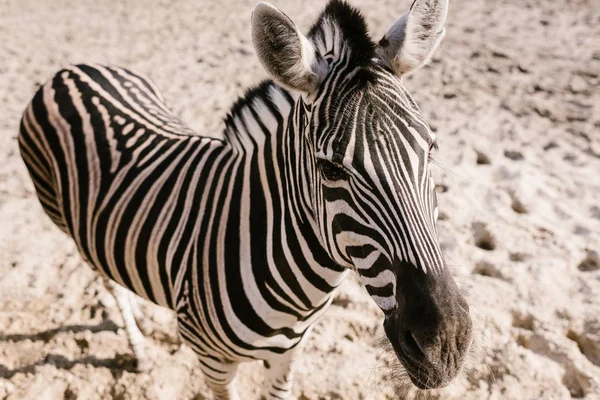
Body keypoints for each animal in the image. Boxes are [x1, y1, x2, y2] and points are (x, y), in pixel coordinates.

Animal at [16, 0, 472, 398]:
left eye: (431, 149)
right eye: (330, 170)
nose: (444, 345)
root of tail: (71, 70)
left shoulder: (289, 355)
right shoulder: (212, 361)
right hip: (63, 219)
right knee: (105, 281)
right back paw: (140, 349)